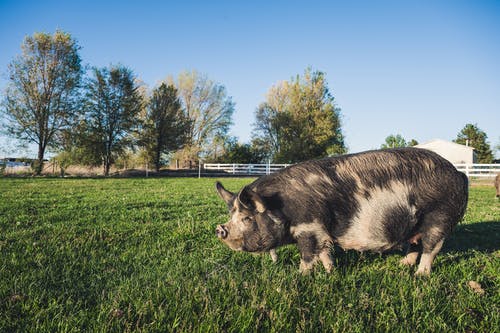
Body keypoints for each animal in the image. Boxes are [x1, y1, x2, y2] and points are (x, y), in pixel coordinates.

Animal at [215, 148, 468, 274]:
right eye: (231, 215)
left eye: (247, 218)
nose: (220, 229)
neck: (282, 207)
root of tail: (460, 174)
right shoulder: (321, 231)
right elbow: (325, 252)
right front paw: (330, 272)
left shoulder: (309, 227)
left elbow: (308, 255)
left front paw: (300, 276)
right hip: (415, 225)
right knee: (414, 245)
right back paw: (401, 266)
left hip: (439, 218)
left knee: (431, 248)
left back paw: (420, 275)